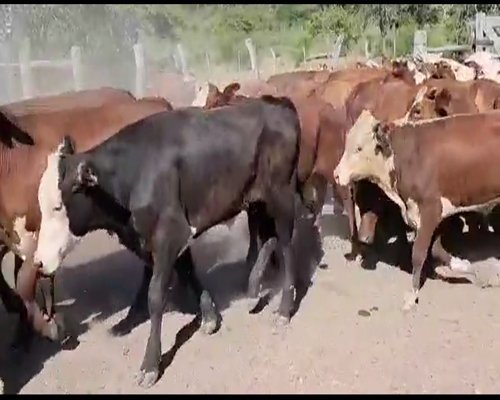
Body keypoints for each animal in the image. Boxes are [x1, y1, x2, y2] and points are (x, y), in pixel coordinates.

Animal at [334, 111, 500, 310]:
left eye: (358, 148)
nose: (336, 175)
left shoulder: (430, 209)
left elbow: (418, 254)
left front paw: (412, 296)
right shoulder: (426, 216)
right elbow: (436, 250)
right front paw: (467, 267)